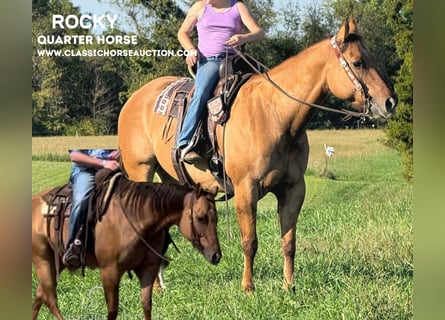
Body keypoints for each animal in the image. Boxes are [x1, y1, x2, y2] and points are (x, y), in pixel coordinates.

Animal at [31, 169, 220, 318]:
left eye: (216, 219)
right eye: (201, 218)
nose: (216, 255)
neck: (137, 215)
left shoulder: (147, 269)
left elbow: (147, 306)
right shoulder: (109, 272)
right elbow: (112, 311)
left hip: (58, 262)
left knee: (39, 296)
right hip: (42, 260)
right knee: (50, 299)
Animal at [117, 18, 396, 292]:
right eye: (358, 62)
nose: (390, 102)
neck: (275, 115)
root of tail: (133, 99)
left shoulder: (293, 189)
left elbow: (289, 242)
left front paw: (289, 287)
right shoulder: (246, 189)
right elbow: (249, 241)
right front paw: (248, 287)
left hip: (170, 179)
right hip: (141, 169)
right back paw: (153, 287)